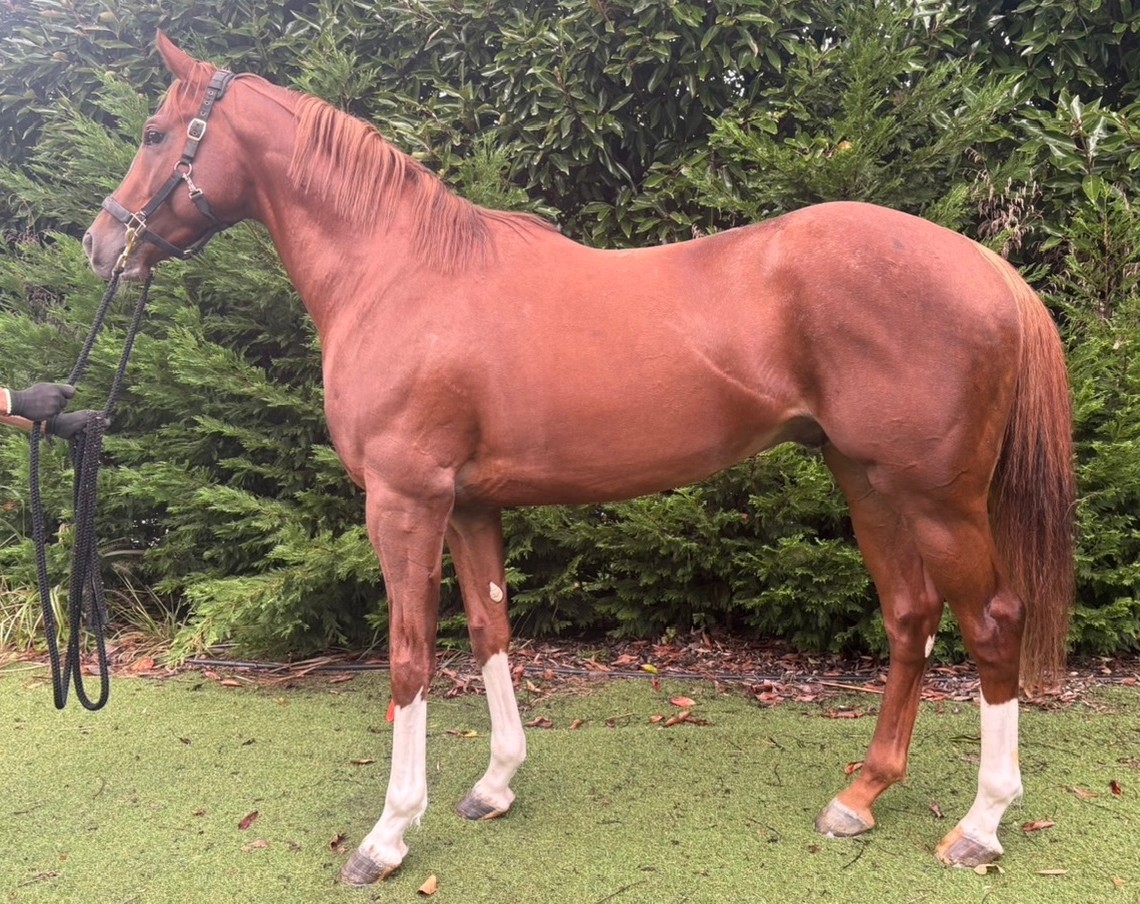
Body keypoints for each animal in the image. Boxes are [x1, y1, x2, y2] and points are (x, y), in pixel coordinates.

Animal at [83, 33, 1075, 885]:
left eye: (155, 132)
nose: (101, 244)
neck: (400, 274)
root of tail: (990, 270)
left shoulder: (405, 501)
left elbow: (408, 657)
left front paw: (388, 835)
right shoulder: (469, 503)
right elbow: (490, 631)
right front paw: (493, 785)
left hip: (938, 497)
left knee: (992, 621)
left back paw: (980, 826)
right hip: (864, 478)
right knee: (911, 615)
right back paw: (860, 796)